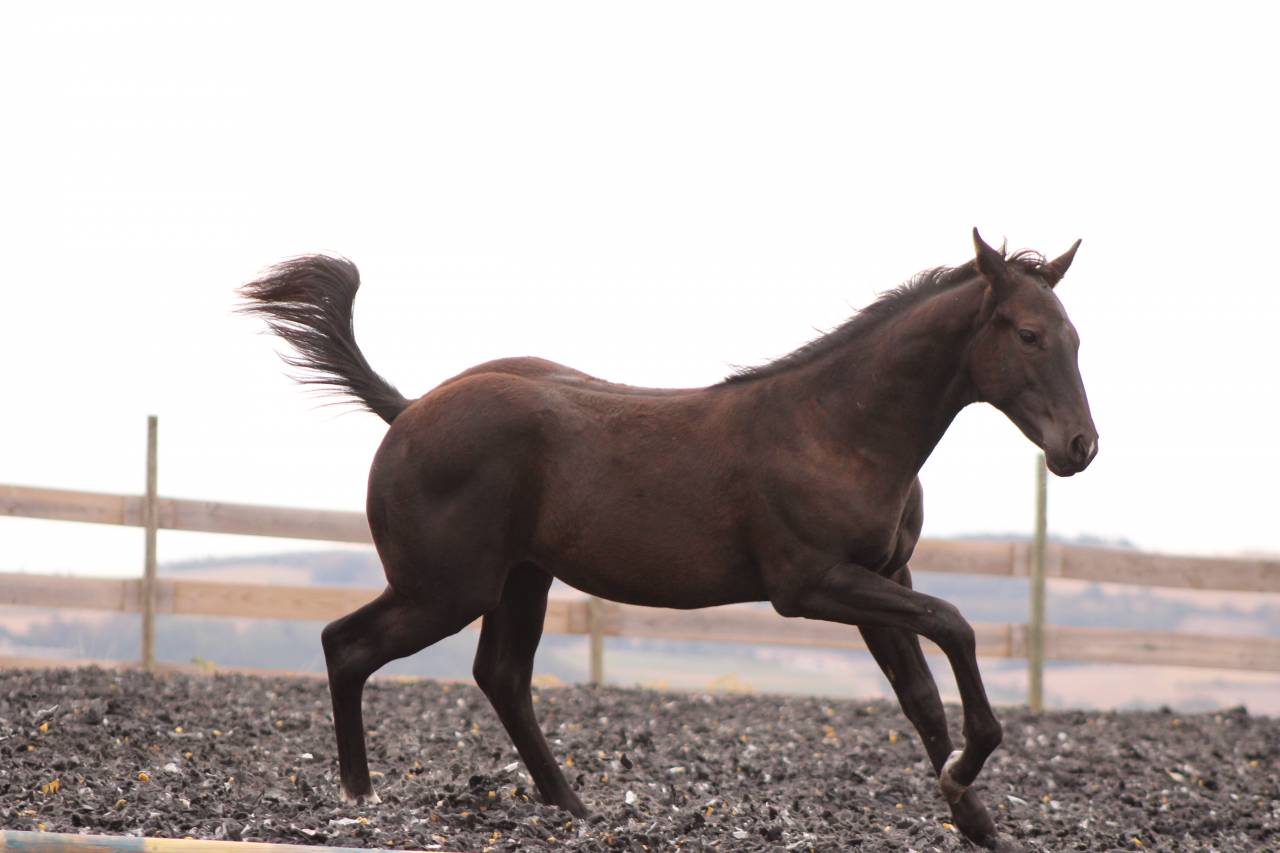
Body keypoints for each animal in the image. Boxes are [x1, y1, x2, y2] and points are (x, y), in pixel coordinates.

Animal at [240, 229, 1096, 851]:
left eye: (1075, 338)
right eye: (1028, 334)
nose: (1080, 447)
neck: (837, 427)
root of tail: (408, 408)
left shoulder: (886, 578)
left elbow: (919, 694)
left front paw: (975, 818)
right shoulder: (812, 583)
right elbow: (957, 626)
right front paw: (970, 767)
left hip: (520, 578)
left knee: (501, 675)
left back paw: (574, 807)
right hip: (445, 589)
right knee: (347, 643)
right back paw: (360, 796)